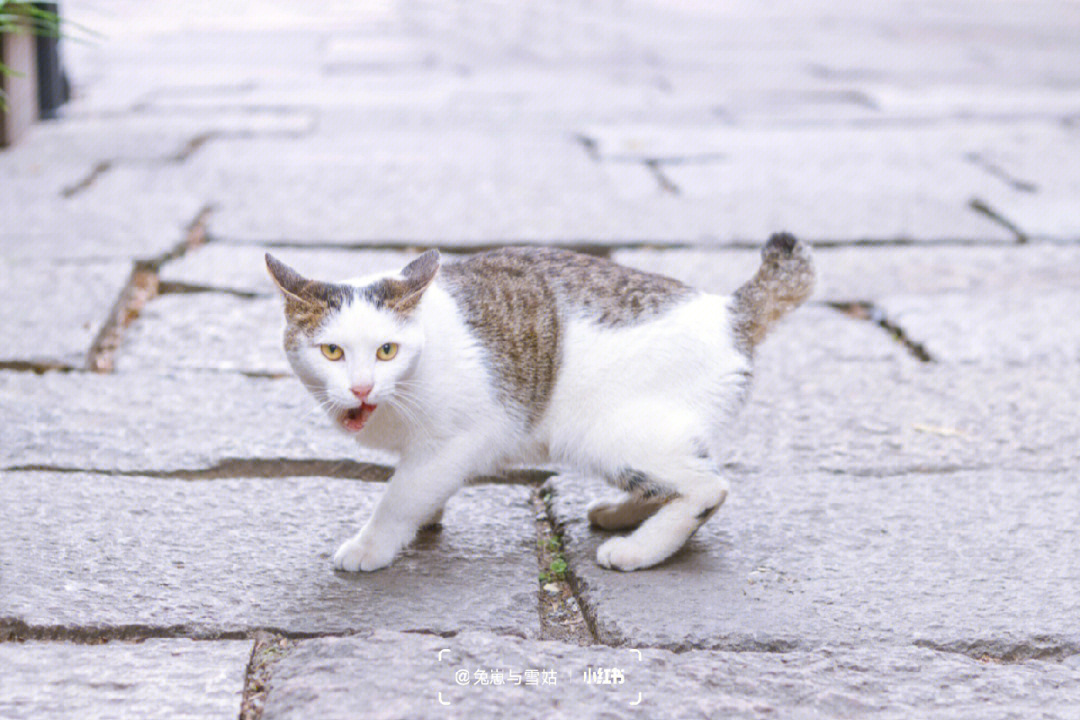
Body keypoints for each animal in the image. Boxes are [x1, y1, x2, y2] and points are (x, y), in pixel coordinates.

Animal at [265, 236, 812, 574]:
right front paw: (426, 520)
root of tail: (728, 312)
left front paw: (372, 545)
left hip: (606, 433)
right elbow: (420, 491)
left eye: (386, 351)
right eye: (331, 352)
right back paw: (622, 513)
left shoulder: (454, 441)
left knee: (707, 488)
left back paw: (637, 549)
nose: (360, 389)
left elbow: (401, 496)